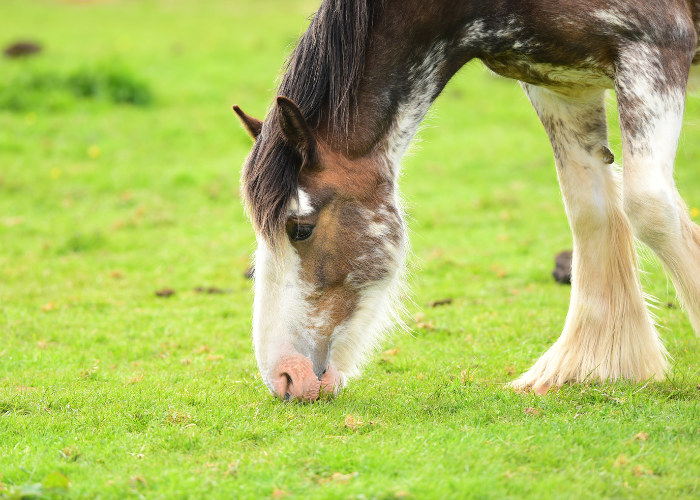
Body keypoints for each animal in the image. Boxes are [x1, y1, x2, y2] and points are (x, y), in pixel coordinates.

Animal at [234, 0, 700, 401]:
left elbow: (649, 207)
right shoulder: (561, 85)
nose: (284, 377)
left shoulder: (657, 46)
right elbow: (591, 209)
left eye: (300, 229)